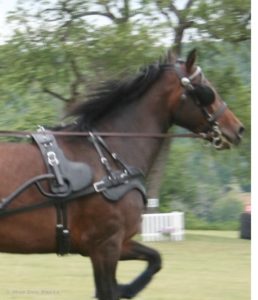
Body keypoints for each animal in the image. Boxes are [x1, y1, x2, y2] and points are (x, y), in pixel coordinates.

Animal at [0, 49, 244, 298]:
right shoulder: (105, 245)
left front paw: (126, 288)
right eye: (207, 90)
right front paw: (125, 288)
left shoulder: (119, 242)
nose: (238, 128)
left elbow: (155, 259)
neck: (108, 159)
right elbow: (108, 290)